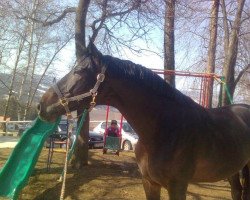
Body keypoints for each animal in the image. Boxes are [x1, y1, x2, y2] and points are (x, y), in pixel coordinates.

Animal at [37, 41, 250, 198]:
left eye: (79, 71)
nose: (42, 106)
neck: (165, 130)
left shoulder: (178, 186)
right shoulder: (149, 183)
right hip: (232, 170)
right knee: (236, 191)